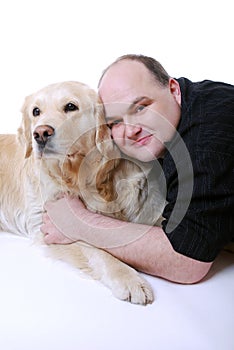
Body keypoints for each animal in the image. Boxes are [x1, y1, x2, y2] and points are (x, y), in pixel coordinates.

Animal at [0, 81, 165, 304]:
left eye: (71, 106)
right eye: (36, 111)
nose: (40, 133)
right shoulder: (50, 226)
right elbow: (98, 251)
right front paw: (130, 279)